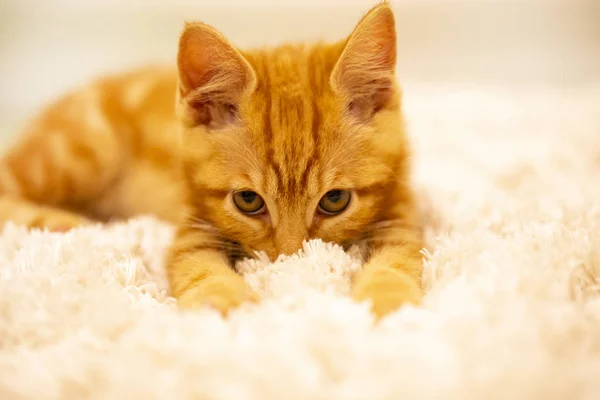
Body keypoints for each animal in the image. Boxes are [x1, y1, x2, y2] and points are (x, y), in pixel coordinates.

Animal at [0, 1, 422, 318]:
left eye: (335, 200)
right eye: (248, 200)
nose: (288, 260)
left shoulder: (401, 214)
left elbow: (400, 260)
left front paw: (388, 300)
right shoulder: (192, 225)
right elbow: (198, 266)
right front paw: (222, 301)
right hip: (85, 149)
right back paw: (61, 221)